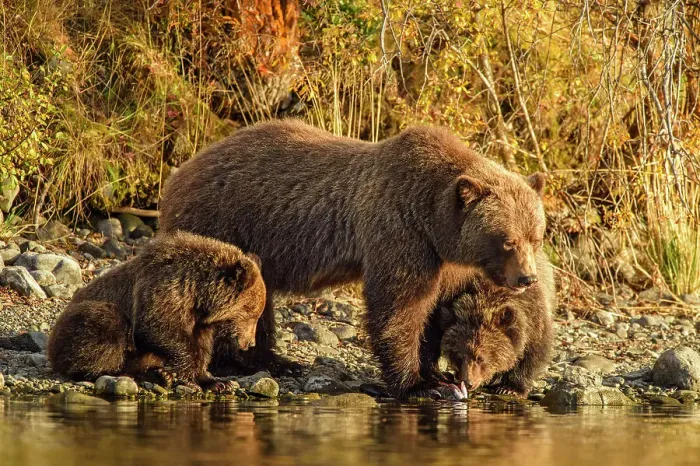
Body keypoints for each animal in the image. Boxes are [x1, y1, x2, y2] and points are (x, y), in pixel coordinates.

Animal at [47, 231, 266, 391]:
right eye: (252, 312)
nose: (250, 343)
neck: (198, 297)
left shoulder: (199, 322)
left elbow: (203, 348)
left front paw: (217, 381)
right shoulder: (162, 290)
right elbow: (159, 328)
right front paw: (190, 377)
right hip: (84, 319)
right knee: (106, 329)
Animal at [420, 251, 555, 398]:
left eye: (480, 358)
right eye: (457, 356)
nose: (468, 382)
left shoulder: (533, 315)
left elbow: (534, 353)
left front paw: (510, 388)